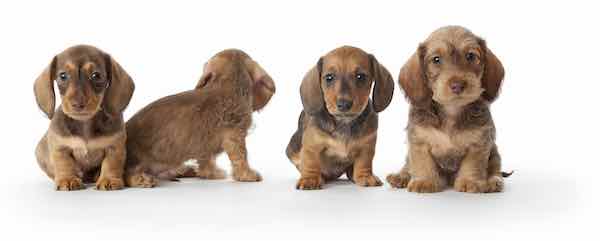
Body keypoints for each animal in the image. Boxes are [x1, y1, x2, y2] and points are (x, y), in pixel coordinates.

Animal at [34, 45, 136, 191]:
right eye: (62, 75)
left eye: (96, 75)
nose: (78, 104)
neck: (84, 124)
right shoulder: (60, 147)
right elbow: (64, 163)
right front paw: (67, 179)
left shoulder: (115, 147)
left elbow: (111, 164)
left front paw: (109, 179)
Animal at [126, 48, 276, 187]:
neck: (226, 86)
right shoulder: (235, 136)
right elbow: (241, 156)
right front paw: (248, 175)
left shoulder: (205, 144)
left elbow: (207, 160)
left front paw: (210, 173)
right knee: (127, 174)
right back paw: (141, 179)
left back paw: (186, 170)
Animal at [284, 45, 394, 189]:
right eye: (329, 77)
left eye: (361, 76)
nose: (344, 104)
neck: (344, 123)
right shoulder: (311, 146)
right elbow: (310, 162)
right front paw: (309, 179)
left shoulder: (367, 147)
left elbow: (364, 162)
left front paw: (365, 176)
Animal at [384, 25, 510, 193]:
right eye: (436, 59)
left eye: (471, 56)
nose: (457, 85)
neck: (451, 111)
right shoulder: (419, 142)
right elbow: (422, 163)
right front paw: (425, 181)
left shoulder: (479, 144)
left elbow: (473, 165)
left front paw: (470, 181)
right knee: (407, 166)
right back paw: (400, 177)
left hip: (494, 152)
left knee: (495, 168)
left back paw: (493, 181)